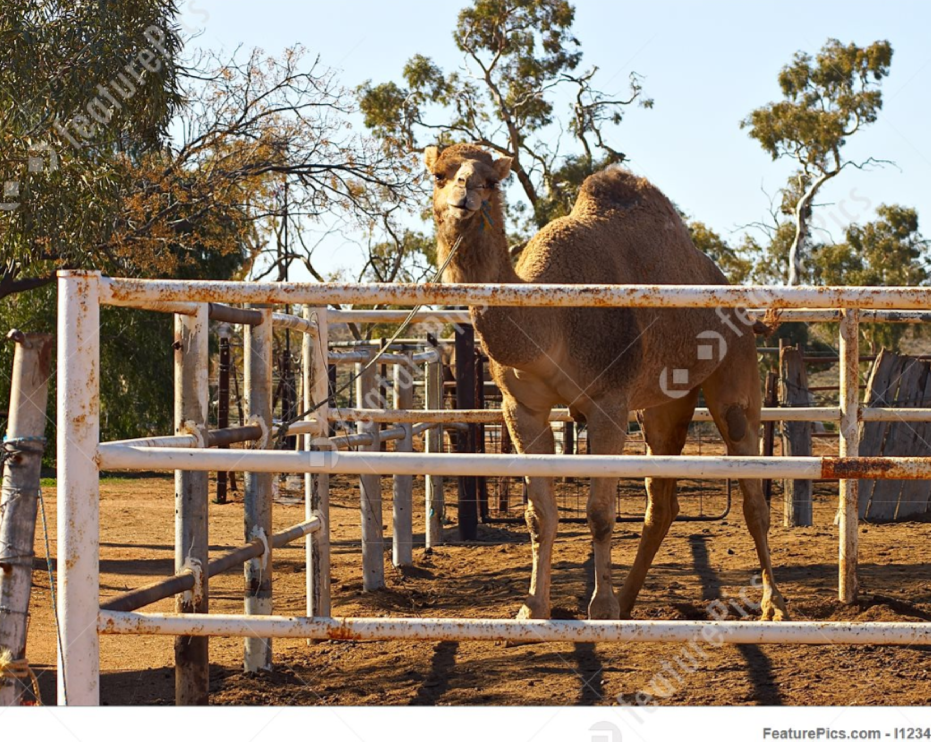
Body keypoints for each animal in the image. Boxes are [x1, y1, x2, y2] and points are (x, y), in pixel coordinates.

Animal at [426, 142, 792, 624]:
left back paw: (773, 604)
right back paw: (631, 599)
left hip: (735, 369)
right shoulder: (520, 407)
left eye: (490, 180)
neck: (551, 324)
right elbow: (539, 515)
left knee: (751, 493)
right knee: (662, 503)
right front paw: (533, 607)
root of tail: (741, 306)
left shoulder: (609, 402)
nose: (464, 195)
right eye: (439, 174)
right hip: (663, 404)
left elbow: (600, 513)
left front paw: (599, 607)